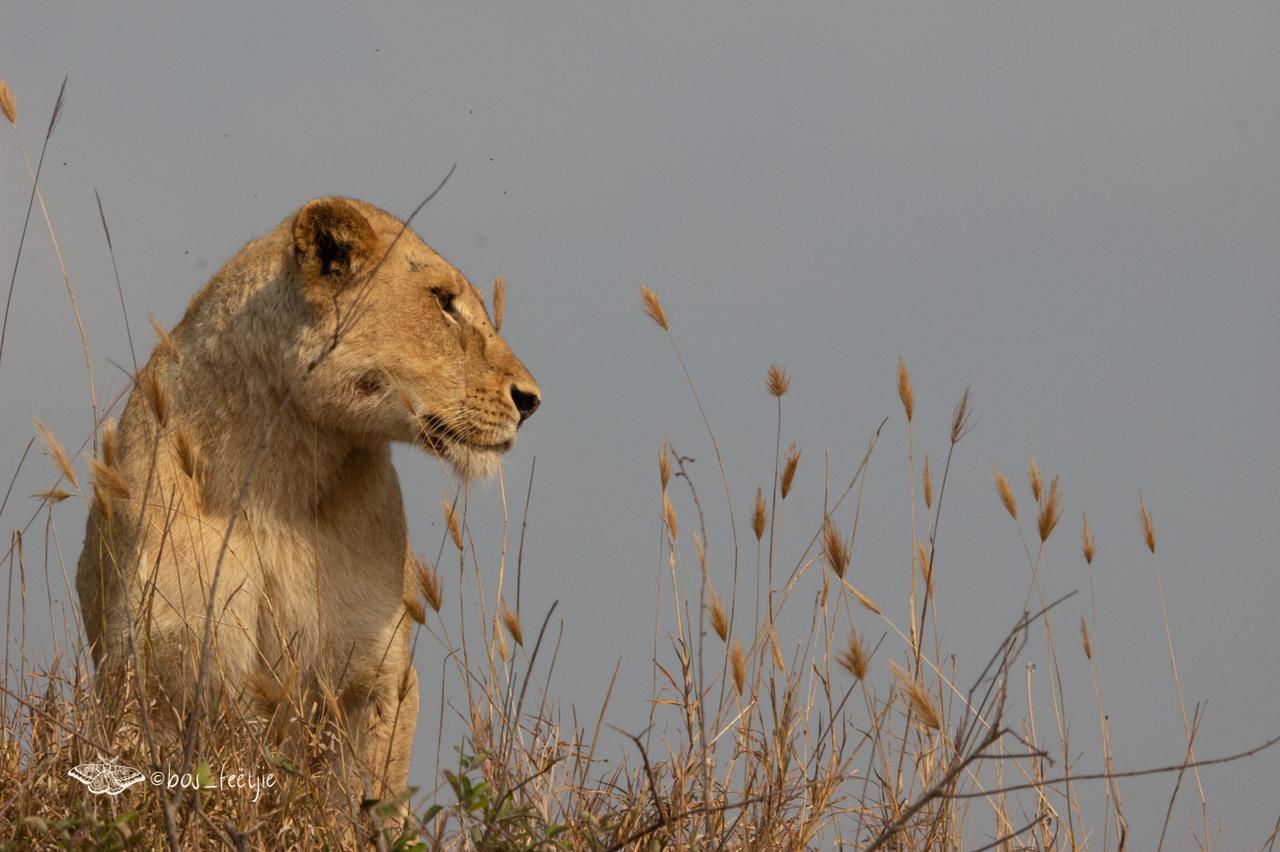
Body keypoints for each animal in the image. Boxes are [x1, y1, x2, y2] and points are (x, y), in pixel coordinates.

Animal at [75, 197, 540, 802]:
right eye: (443, 302)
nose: (531, 400)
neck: (279, 477)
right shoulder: (149, 666)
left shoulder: (379, 681)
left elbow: (360, 801)